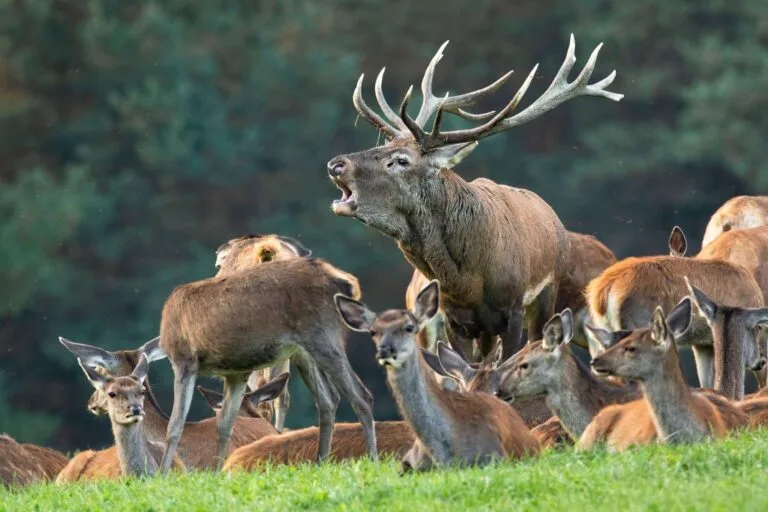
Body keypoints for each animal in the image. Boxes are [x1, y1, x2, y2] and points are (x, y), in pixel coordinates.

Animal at [157, 257, 376, 472]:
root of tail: (346, 281)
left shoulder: (184, 360)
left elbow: (175, 425)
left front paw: (163, 473)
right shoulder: (236, 373)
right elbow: (225, 424)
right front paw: (219, 470)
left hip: (322, 333)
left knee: (361, 395)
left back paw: (372, 460)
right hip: (303, 351)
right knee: (328, 399)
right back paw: (321, 462)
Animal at [327, 35, 622, 361]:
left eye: (401, 160)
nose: (336, 164)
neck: (468, 280)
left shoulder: (513, 311)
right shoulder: (454, 319)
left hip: (548, 295)